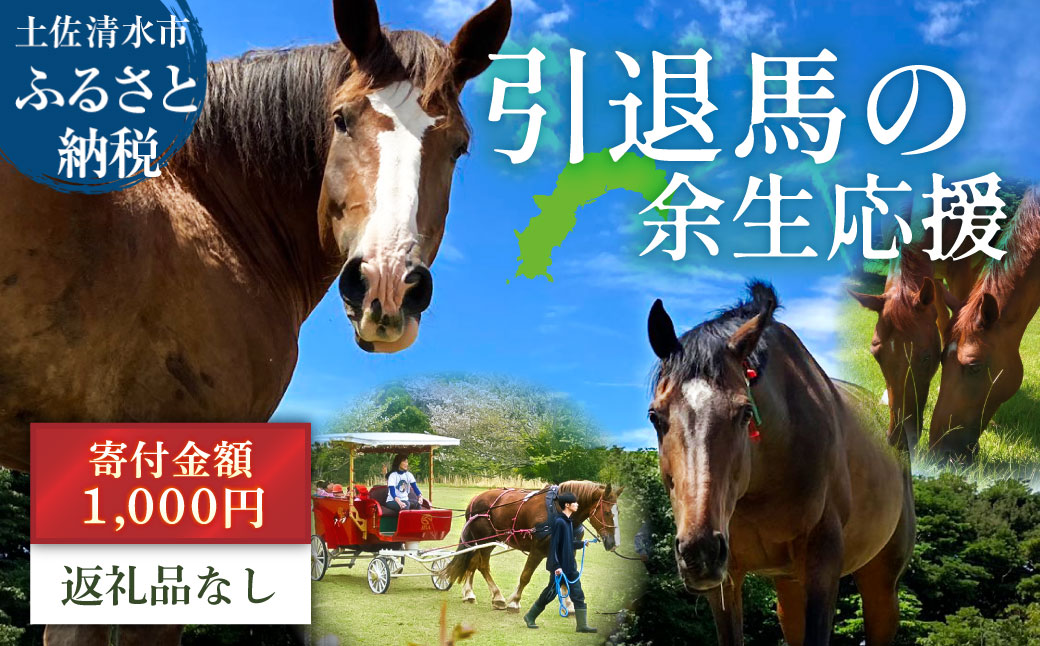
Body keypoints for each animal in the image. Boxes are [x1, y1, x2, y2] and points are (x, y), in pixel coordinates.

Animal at [443, 481, 622, 613]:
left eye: (618, 512)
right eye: (607, 512)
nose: (613, 544)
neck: (558, 511)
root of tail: (475, 499)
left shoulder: (567, 550)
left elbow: (566, 577)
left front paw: (569, 605)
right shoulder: (537, 550)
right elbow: (525, 576)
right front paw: (514, 602)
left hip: (487, 541)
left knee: (473, 562)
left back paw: (469, 593)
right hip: (483, 540)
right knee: (482, 565)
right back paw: (497, 597)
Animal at [647, 282, 915, 646]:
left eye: (745, 412)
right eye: (655, 416)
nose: (699, 551)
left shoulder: (822, 563)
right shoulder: (727, 578)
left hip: (881, 580)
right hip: (788, 585)